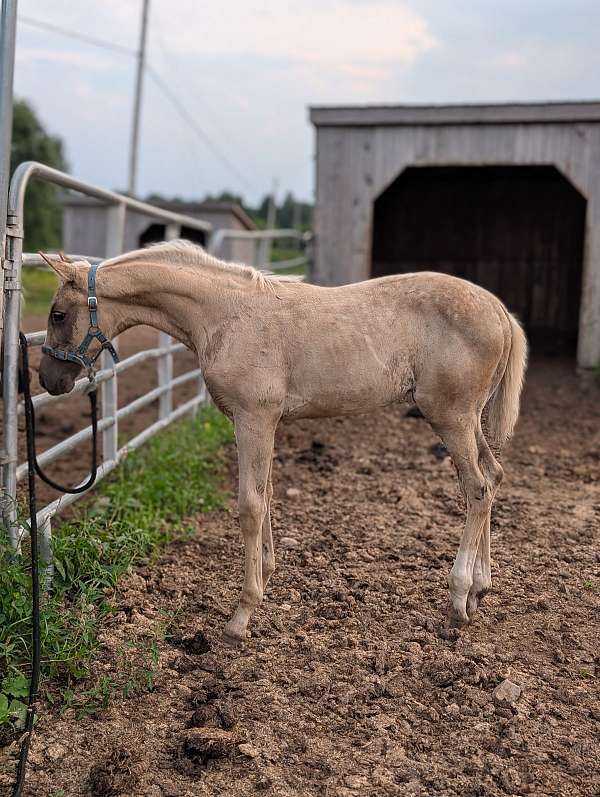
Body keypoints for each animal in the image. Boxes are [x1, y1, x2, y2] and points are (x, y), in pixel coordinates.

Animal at [38, 241, 527, 645]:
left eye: (58, 314)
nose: (49, 380)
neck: (226, 316)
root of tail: (500, 311)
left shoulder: (253, 419)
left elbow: (250, 505)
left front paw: (240, 617)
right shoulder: (266, 422)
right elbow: (267, 494)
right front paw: (268, 575)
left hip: (450, 417)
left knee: (477, 488)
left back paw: (458, 599)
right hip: (468, 419)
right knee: (494, 477)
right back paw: (481, 588)